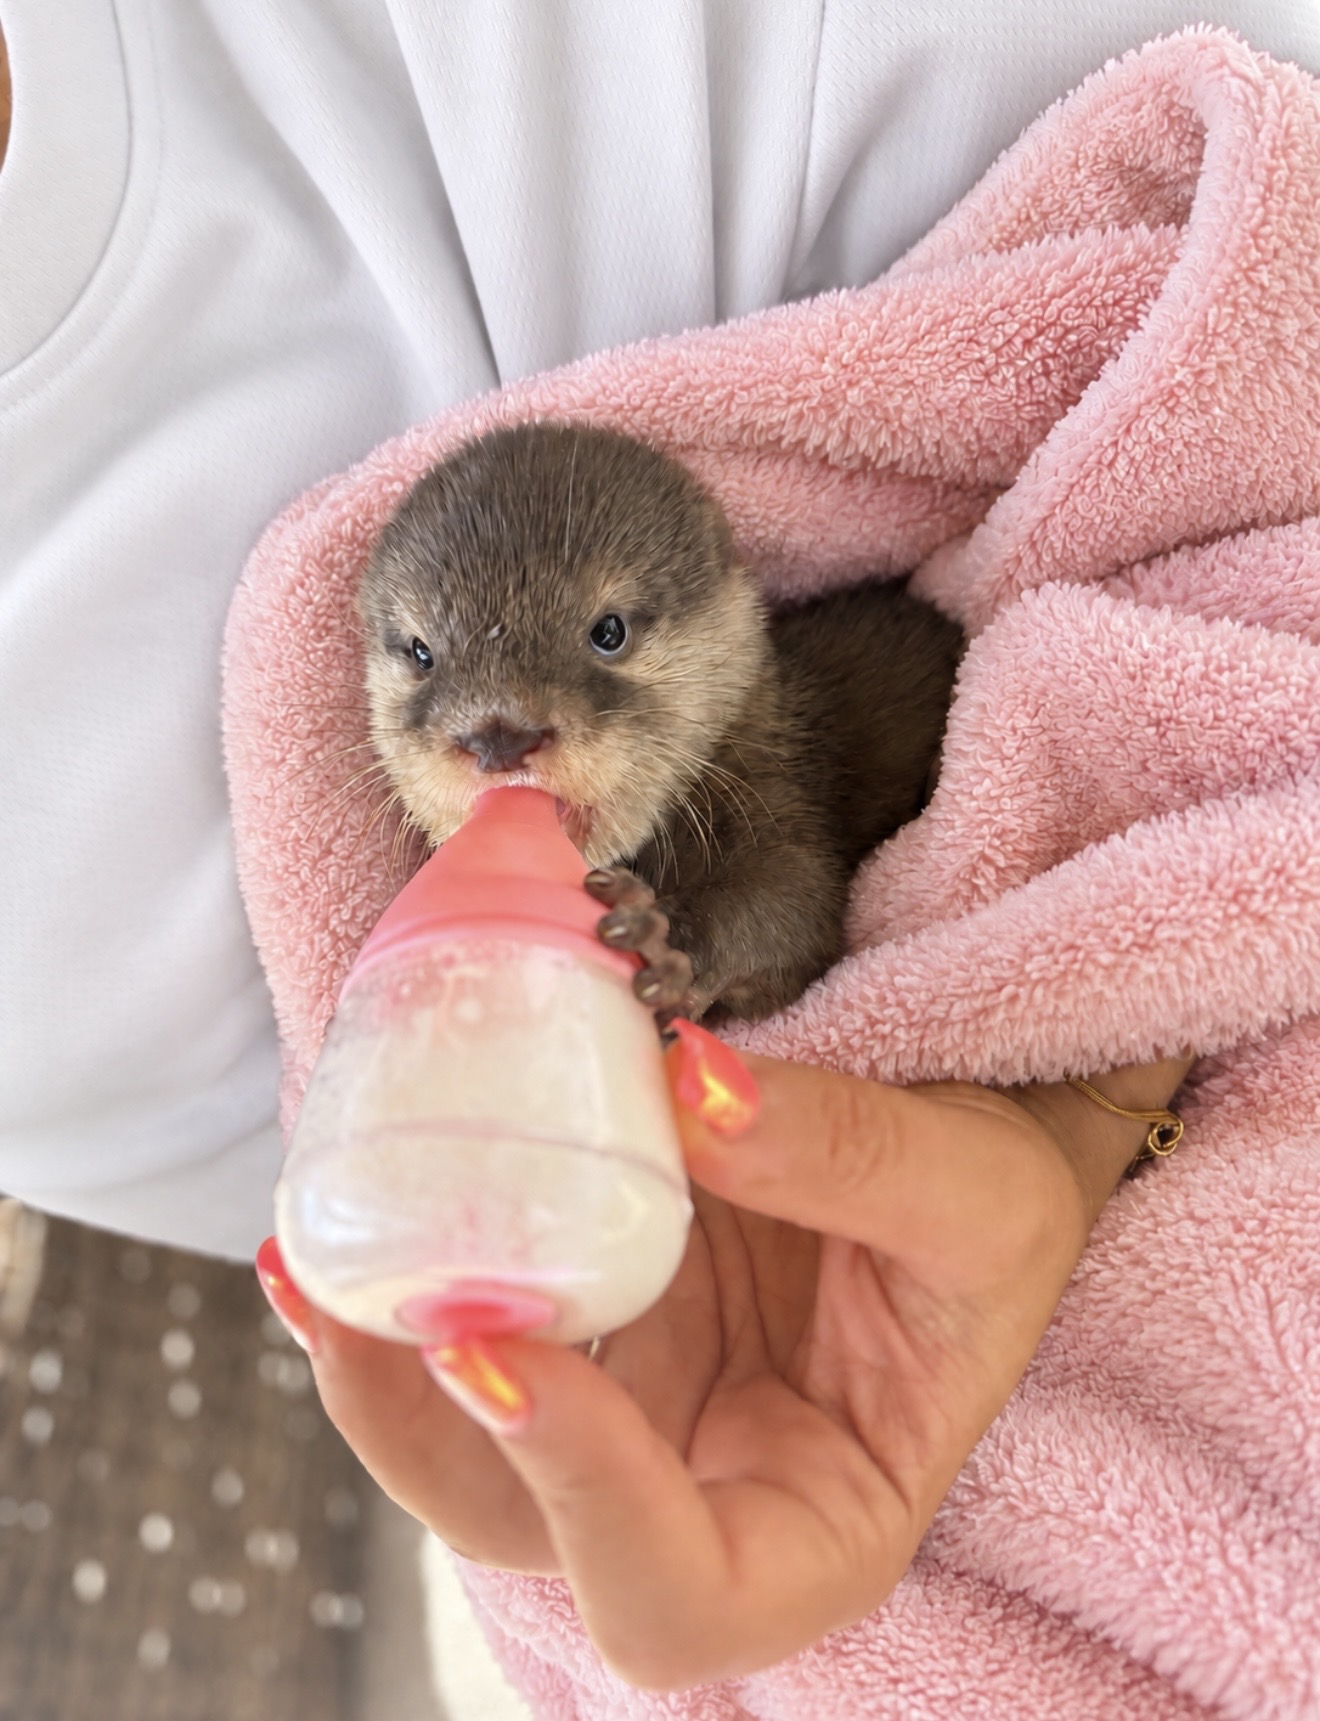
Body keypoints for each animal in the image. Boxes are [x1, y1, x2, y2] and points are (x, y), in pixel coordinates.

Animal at [358, 422, 963, 1021]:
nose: (499, 736)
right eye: (421, 652)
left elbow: (796, 903)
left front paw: (657, 941)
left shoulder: (782, 796)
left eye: (609, 631)